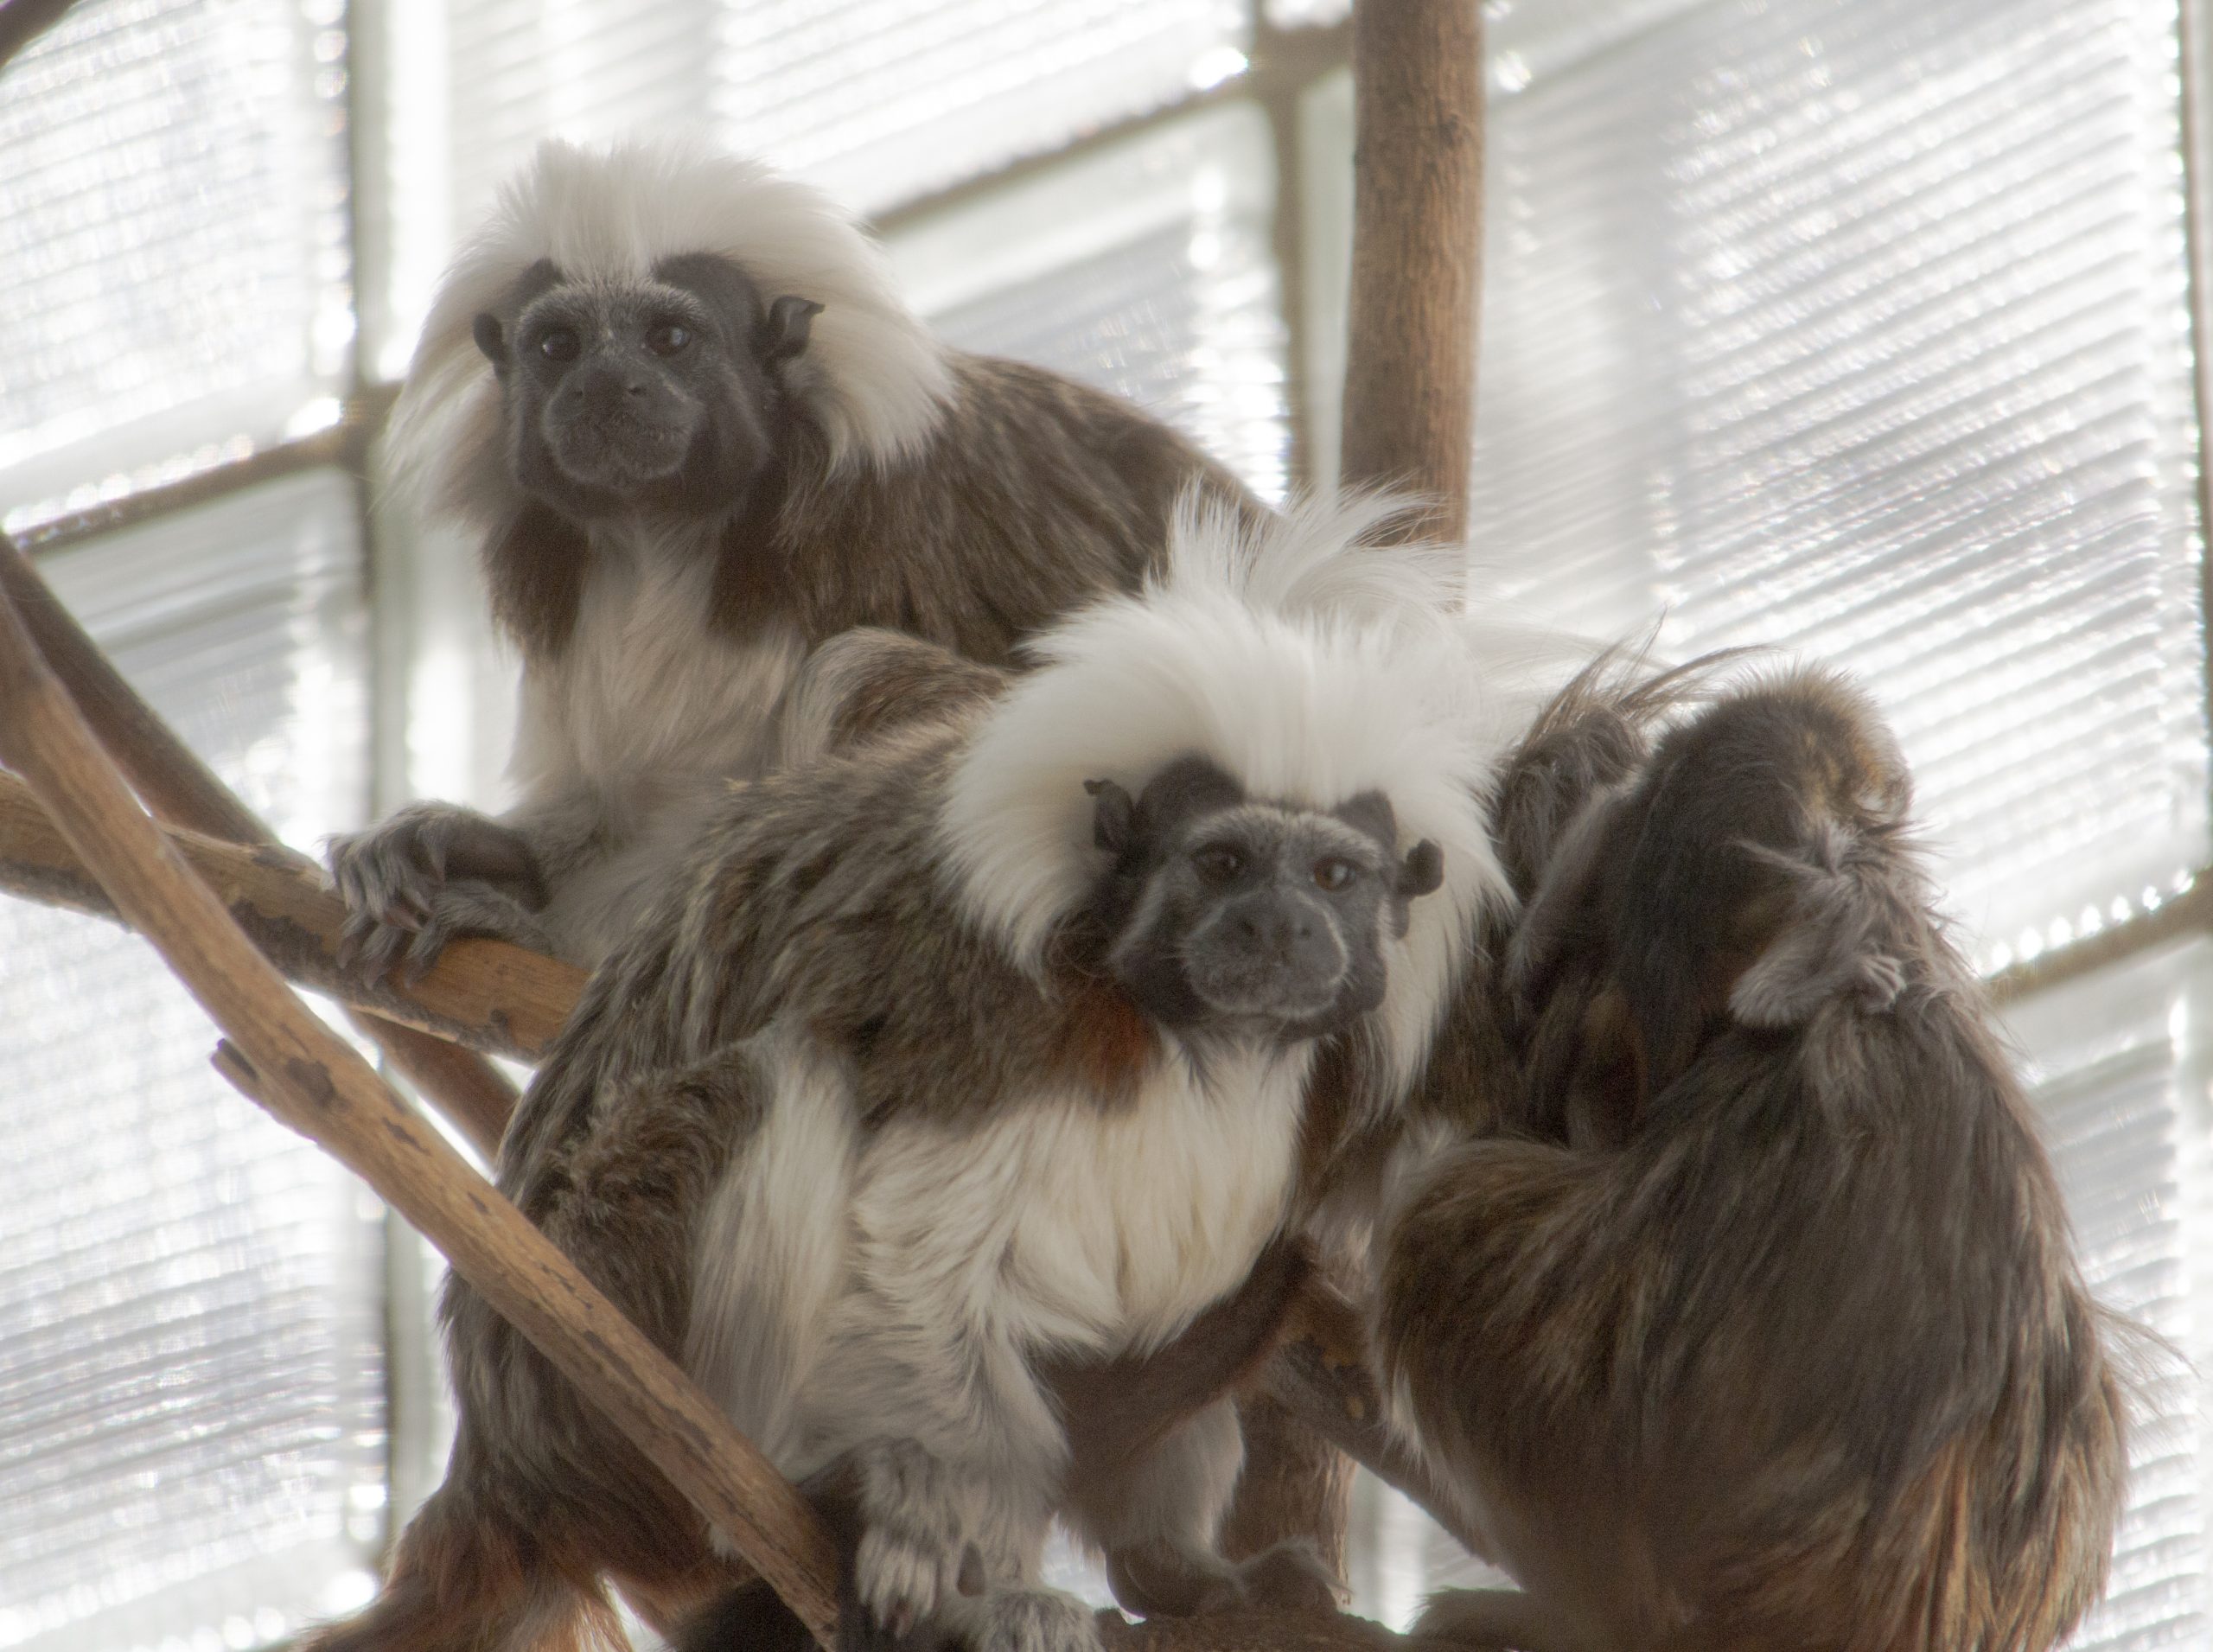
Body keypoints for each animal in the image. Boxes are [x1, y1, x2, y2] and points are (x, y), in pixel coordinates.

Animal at [311, 498, 1540, 1647]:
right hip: (592, 1359)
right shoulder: (978, 1002)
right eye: (1224, 862)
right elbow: (920, 1265)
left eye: (1334, 876)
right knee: (771, 1092)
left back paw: (1165, 1568)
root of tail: (498, 1472)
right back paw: (815, 1508)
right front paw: (940, 1555)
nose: (1278, 929)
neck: (1192, 1037)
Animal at [327, 141, 1266, 979]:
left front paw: (543, 925)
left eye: (669, 338)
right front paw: (481, 846)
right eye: (558, 346)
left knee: (860, 671)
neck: (663, 535)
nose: (604, 386)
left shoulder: (859, 527)